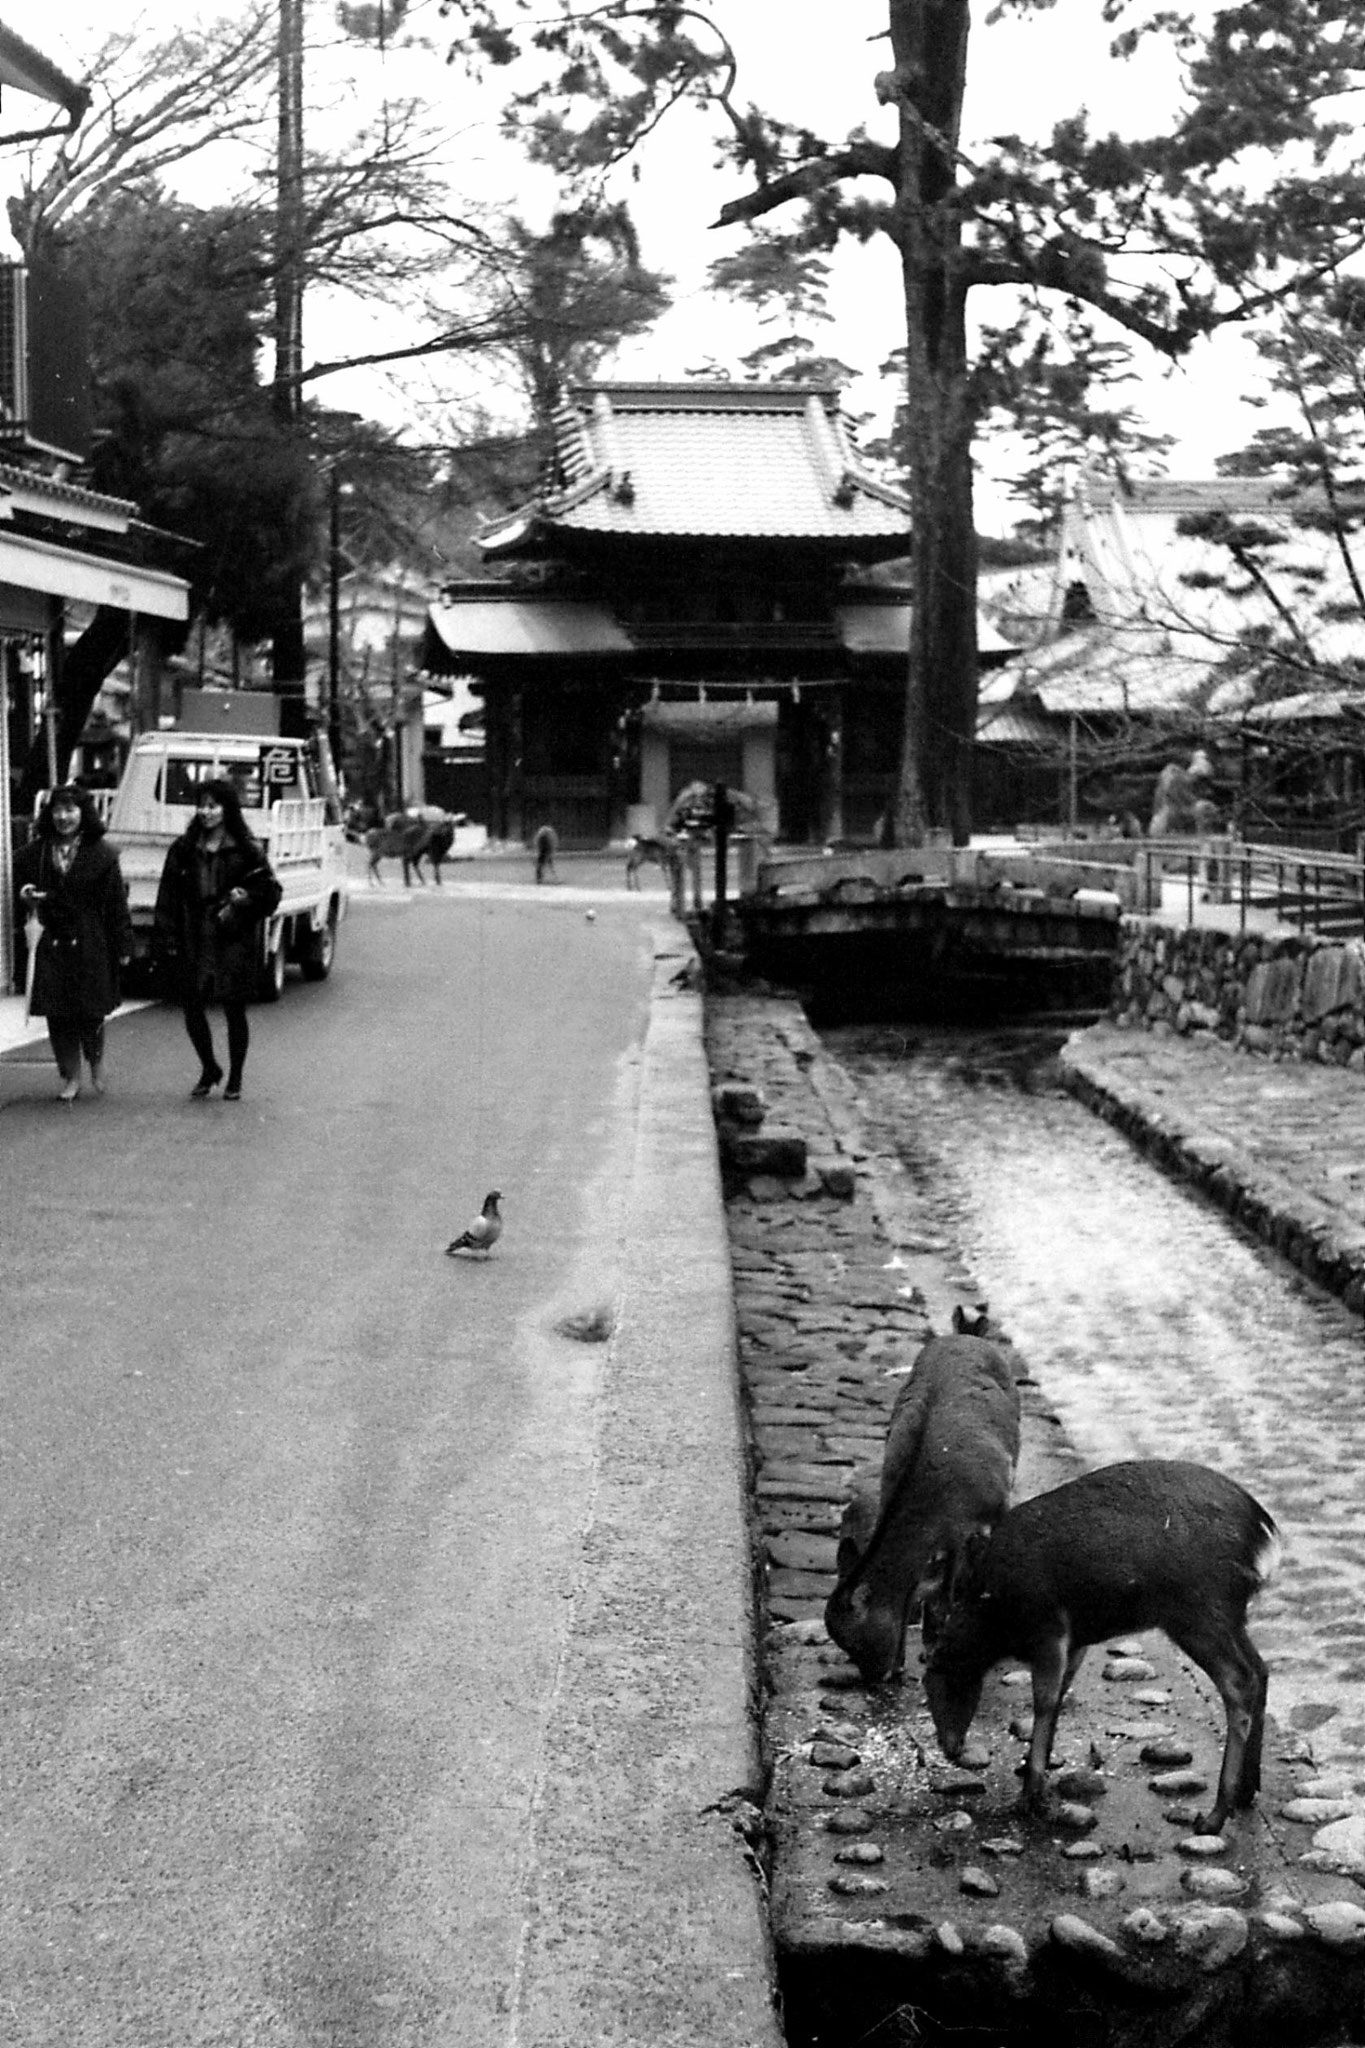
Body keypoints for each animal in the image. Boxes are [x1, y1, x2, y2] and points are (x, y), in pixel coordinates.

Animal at [822, 1327, 1023, 1679]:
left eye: (855, 1641)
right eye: (843, 1645)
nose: (873, 1676)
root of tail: (969, 1335)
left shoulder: (988, 1512)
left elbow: (948, 1593)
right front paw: (904, 1661)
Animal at [925, 1458, 1285, 1843]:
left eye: (942, 1683)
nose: (951, 1747)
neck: (993, 1614)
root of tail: (1265, 1538)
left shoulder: (1049, 1626)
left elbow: (1045, 1700)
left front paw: (1030, 1795)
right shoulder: (1077, 1639)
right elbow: (1060, 1696)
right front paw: (1035, 1773)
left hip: (1198, 1609)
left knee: (1239, 1681)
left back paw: (1215, 1815)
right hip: (1228, 1615)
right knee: (1261, 1670)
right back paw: (1247, 1790)